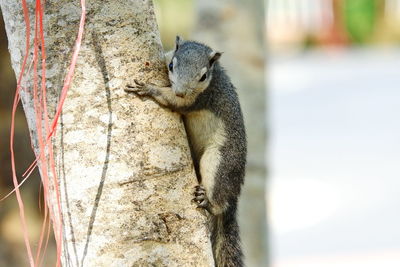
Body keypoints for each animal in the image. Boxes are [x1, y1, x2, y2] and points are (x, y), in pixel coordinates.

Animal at [126, 36, 247, 267]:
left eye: (203, 76)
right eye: (172, 66)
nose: (180, 91)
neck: (214, 76)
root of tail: (235, 195)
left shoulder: (199, 99)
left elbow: (175, 102)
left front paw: (150, 88)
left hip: (219, 160)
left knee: (219, 198)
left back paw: (208, 201)